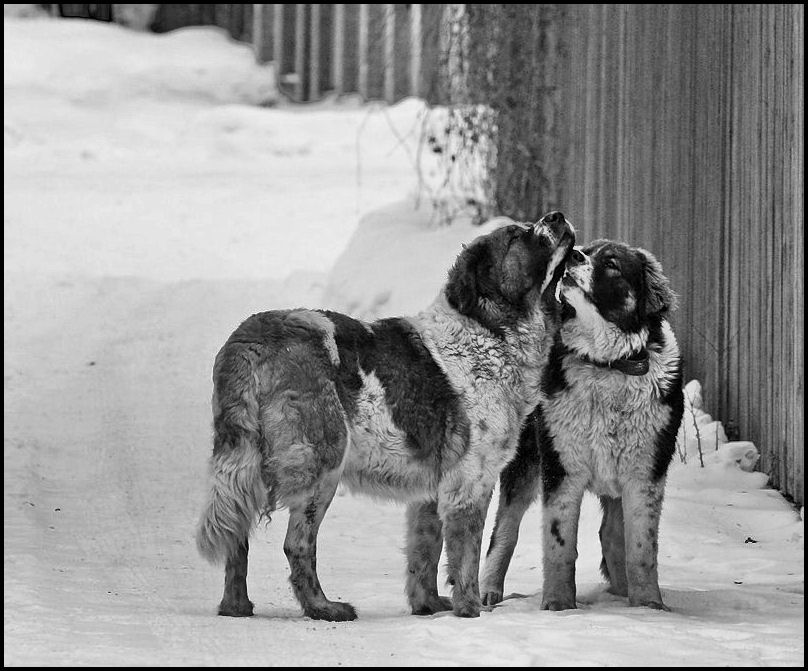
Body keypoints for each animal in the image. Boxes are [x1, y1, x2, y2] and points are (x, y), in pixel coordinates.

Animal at [196, 213, 576, 624]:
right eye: (517, 236)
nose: (557, 216)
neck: (490, 332)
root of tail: (252, 336)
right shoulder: (469, 482)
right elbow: (466, 555)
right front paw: (470, 610)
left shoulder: (431, 491)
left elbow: (425, 551)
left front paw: (429, 606)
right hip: (323, 466)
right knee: (297, 545)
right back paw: (324, 608)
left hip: (248, 462)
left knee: (237, 534)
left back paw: (236, 607)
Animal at [480, 239, 680, 612]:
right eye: (586, 249)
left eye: (612, 264)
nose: (574, 255)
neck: (607, 366)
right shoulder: (561, 467)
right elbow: (559, 544)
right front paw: (558, 605)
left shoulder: (645, 473)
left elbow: (641, 548)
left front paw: (647, 606)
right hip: (526, 463)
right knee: (504, 531)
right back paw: (487, 591)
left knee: (612, 534)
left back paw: (621, 591)